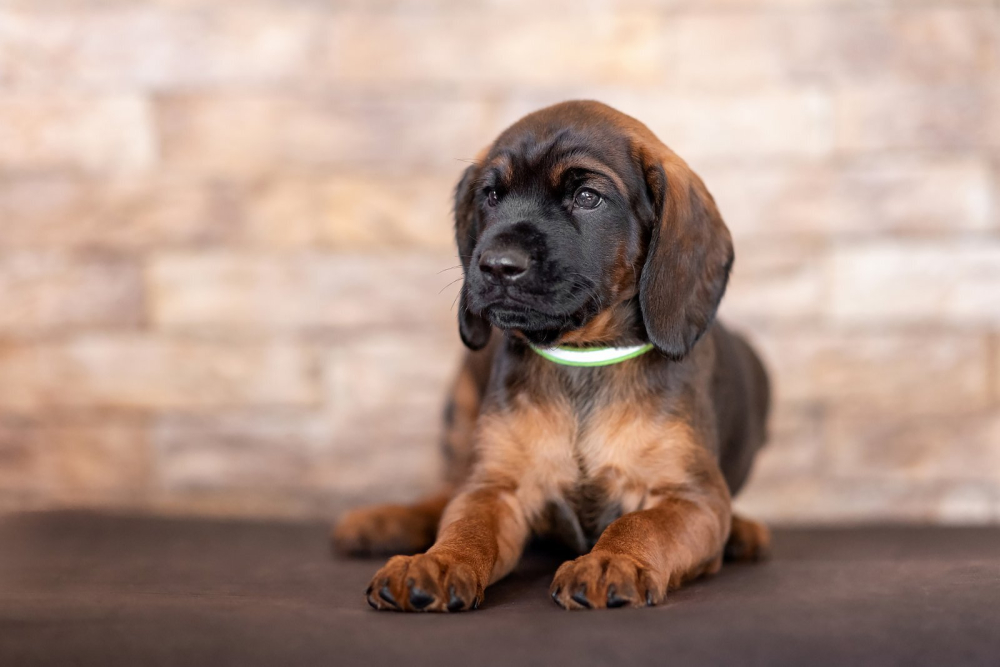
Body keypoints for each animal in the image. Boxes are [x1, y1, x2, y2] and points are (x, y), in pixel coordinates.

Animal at [334, 100, 771, 612]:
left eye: (587, 197)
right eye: (492, 196)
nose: (496, 266)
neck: (582, 359)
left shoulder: (691, 498)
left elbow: (641, 523)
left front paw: (612, 560)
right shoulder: (497, 487)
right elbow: (465, 524)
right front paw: (440, 561)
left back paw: (742, 531)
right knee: (443, 494)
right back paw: (387, 520)